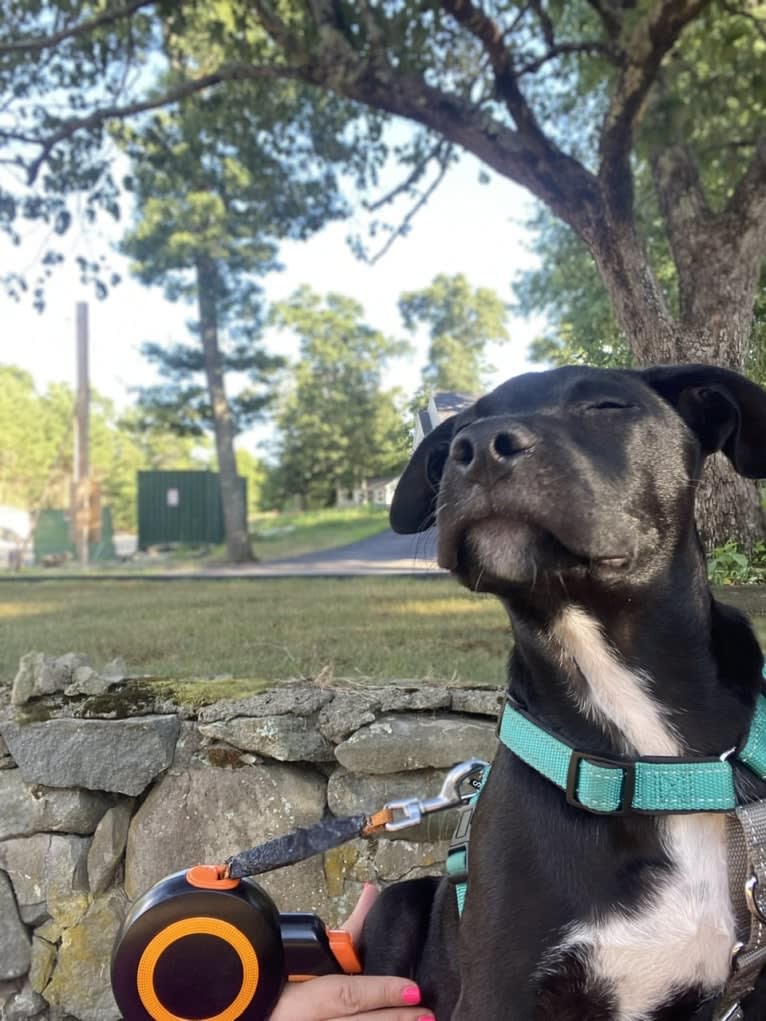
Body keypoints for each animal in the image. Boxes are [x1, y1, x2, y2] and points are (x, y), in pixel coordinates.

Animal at [363, 367, 766, 1021]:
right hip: (393, 908)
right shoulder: (496, 991)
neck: (650, 767)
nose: (477, 448)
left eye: (605, 405)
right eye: (458, 432)